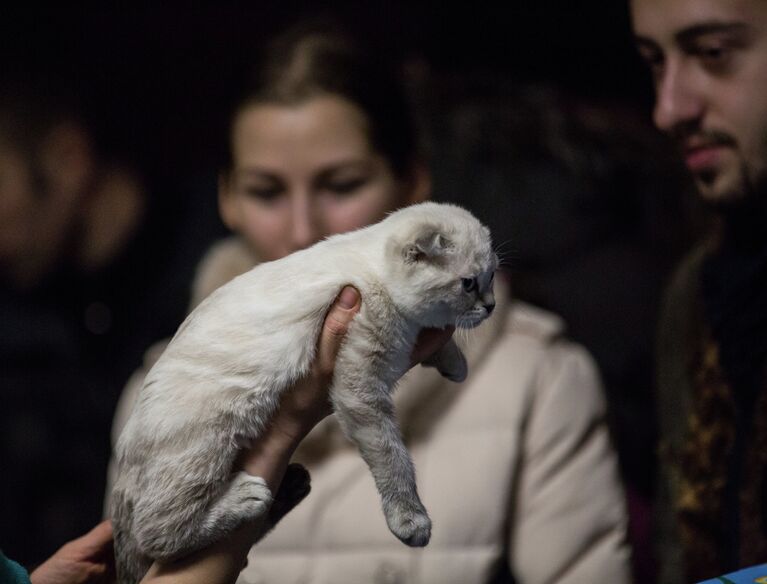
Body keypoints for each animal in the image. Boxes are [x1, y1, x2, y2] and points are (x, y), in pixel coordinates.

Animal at [109, 202, 498, 584]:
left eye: (492, 278)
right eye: (468, 284)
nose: (491, 306)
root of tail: (122, 464)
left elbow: (440, 341)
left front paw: (455, 364)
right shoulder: (361, 388)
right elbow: (393, 458)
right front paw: (410, 520)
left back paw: (289, 488)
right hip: (209, 446)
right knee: (158, 534)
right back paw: (247, 498)